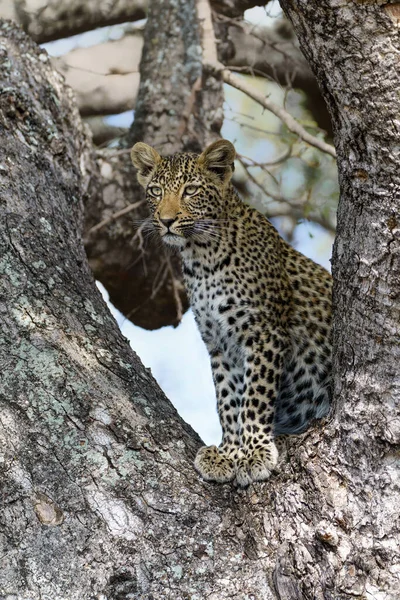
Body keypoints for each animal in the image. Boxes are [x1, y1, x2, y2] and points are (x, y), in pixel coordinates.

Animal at [131, 138, 332, 486]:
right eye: (155, 190)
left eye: (190, 190)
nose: (167, 220)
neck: (202, 256)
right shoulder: (219, 343)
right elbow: (228, 400)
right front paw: (228, 452)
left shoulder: (263, 333)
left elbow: (255, 397)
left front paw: (254, 453)